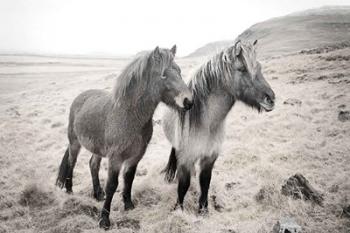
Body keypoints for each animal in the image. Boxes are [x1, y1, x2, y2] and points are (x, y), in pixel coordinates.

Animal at [56, 46, 194, 229]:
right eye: (163, 74)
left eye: (179, 71)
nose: (188, 101)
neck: (129, 116)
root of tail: (80, 97)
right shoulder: (115, 159)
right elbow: (112, 185)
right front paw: (104, 220)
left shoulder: (135, 156)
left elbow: (129, 179)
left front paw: (128, 205)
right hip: (74, 143)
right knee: (72, 163)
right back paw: (70, 190)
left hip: (98, 149)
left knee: (93, 165)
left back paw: (97, 194)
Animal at [163, 39, 274, 213]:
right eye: (242, 69)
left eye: (260, 67)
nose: (271, 99)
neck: (207, 124)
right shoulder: (186, 158)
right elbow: (183, 186)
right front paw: (178, 209)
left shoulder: (210, 157)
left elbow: (205, 182)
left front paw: (203, 209)